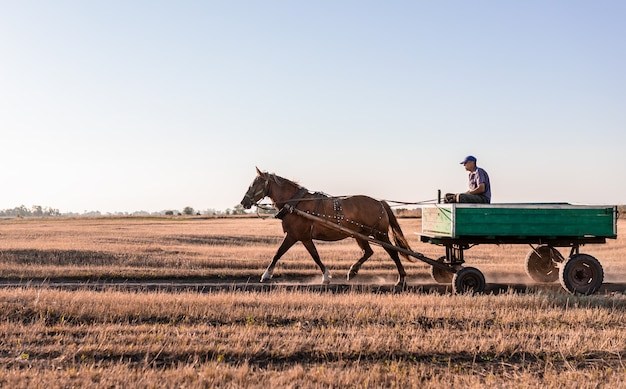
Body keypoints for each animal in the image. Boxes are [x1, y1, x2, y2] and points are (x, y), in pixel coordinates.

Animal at [238, 166, 410, 284]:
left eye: (254, 184)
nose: (243, 202)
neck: (295, 203)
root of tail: (380, 202)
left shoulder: (296, 236)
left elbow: (282, 253)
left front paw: (266, 275)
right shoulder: (303, 237)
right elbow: (312, 255)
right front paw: (326, 276)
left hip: (380, 234)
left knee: (393, 252)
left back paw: (401, 279)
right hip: (359, 234)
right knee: (368, 252)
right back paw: (352, 272)